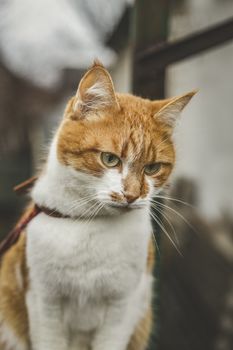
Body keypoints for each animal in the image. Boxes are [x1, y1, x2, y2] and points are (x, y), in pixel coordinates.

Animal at [0, 61, 196, 348]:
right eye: (110, 159)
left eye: (152, 168)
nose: (132, 195)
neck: (91, 223)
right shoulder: (44, 303)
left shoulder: (121, 307)